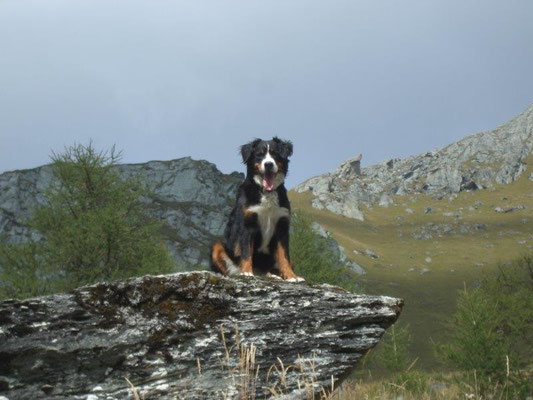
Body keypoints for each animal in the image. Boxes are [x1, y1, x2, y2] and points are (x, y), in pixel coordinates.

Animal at [211, 138, 304, 282]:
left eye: (275, 153)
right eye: (259, 155)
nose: (268, 164)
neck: (267, 193)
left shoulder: (282, 226)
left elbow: (284, 255)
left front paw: (291, 276)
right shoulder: (248, 223)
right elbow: (246, 251)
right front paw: (247, 272)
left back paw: (272, 275)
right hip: (217, 247)